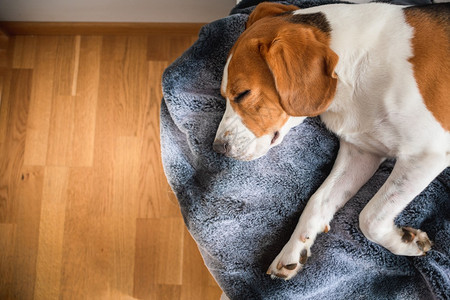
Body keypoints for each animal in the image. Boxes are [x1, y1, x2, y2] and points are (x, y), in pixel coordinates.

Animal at [213, 1, 448, 280]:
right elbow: (318, 201)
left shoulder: (425, 154)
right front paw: (293, 250)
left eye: (243, 93)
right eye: (223, 95)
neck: (357, 70)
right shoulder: (362, 152)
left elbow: (370, 217)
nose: (217, 148)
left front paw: (406, 242)